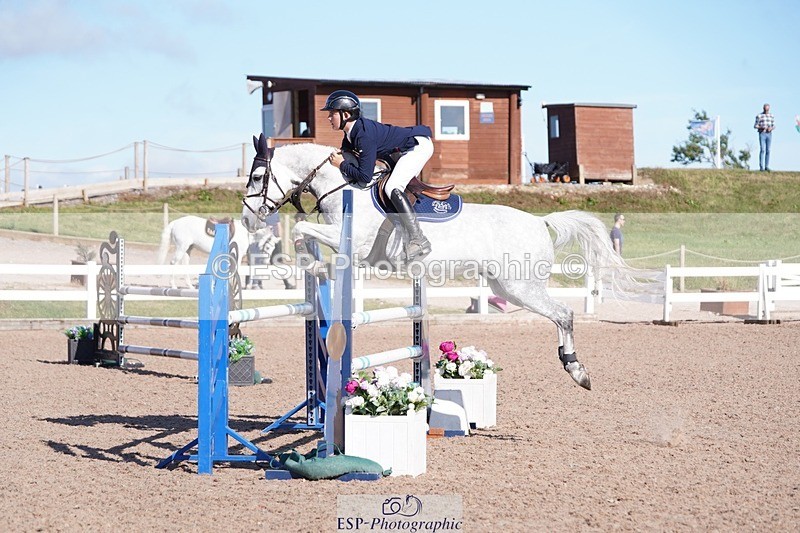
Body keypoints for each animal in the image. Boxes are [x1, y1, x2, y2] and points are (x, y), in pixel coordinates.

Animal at [240, 134, 658, 390]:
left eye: (259, 175)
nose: (247, 219)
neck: (344, 186)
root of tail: (541, 221)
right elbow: (303, 233)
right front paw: (308, 266)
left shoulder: (353, 244)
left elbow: (302, 230)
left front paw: (307, 263)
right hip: (506, 287)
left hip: (521, 287)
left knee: (564, 315)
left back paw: (577, 370)